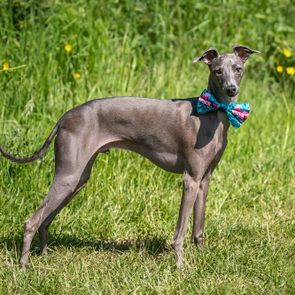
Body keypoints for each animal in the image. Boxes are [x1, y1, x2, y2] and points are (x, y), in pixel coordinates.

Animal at [0, 44, 260, 268]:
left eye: (238, 68)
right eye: (217, 71)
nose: (231, 89)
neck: (212, 113)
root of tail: (65, 117)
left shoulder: (204, 180)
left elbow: (198, 227)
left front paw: (203, 256)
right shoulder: (190, 180)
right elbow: (181, 231)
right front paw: (180, 265)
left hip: (77, 178)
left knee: (45, 220)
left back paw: (44, 256)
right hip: (68, 176)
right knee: (32, 221)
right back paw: (24, 265)